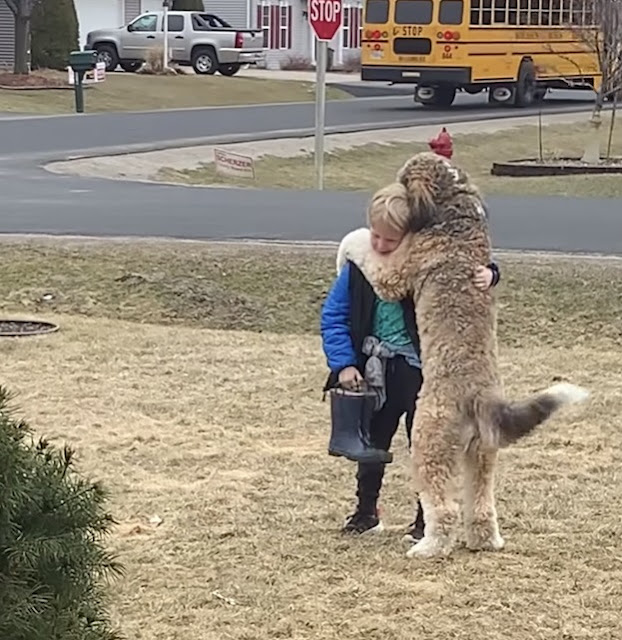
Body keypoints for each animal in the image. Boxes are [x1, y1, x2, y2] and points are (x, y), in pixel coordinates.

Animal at [360, 152, 588, 556]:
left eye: (403, 178)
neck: (454, 206)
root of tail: (481, 396)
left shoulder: (399, 271)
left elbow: (374, 262)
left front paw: (354, 240)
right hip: (482, 453)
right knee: (481, 504)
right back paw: (487, 540)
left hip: (428, 443)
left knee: (445, 507)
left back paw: (428, 547)